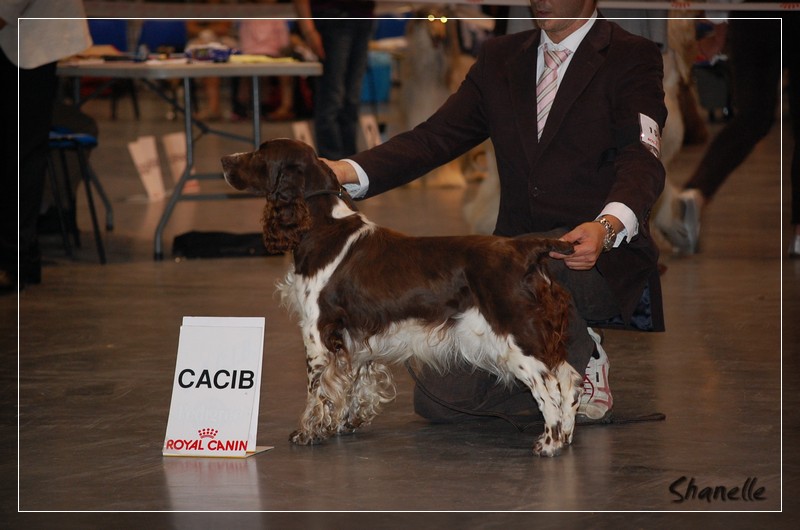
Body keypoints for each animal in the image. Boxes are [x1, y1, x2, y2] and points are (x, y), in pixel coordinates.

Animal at [221, 138, 581, 457]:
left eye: (260, 154)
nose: (224, 160)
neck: (321, 225)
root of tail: (527, 249)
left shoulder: (317, 331)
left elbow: (317, 388)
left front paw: (307, 432)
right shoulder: (354, 336)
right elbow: (349, 383)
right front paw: (342, 424)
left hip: (517, 337)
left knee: (549, 388)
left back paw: (549, 443)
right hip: (537, 336)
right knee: (569, 380)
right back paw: (565, 437)